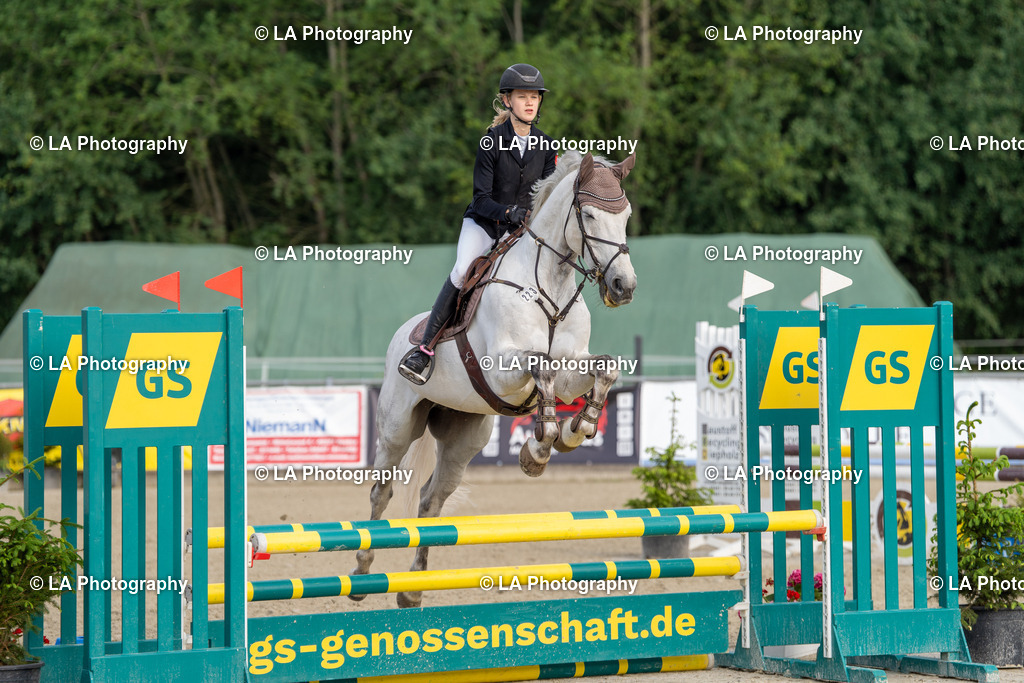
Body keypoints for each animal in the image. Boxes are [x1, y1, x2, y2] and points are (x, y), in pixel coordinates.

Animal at [352, 150, 637, 608]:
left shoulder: (573, 368)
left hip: (464, 438)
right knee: (383, 490)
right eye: (590, 215)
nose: (623, 286)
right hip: (397, 426)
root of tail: (404, 333)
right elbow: (541, 366)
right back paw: (362, 573)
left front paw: (573, 431)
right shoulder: (502, 369)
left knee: (432, 499)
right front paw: (540, 445)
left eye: (625, 216)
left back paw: (412, 590)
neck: (550, 284)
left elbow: (602, 368)